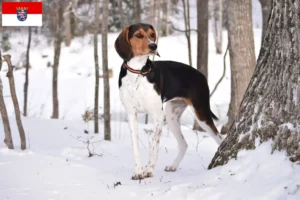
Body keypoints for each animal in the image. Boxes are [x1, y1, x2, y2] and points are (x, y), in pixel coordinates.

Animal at [115, 23, 223, 180]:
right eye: (138, 35)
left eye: (152, 34)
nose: (154, 45)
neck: (138, 72)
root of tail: (201, 75)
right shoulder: (131, 115)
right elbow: (135, 147)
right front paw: (138, 172)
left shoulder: (157, 116)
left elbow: (154, 146)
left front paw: (149, 170)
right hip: (172, 116)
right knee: (184, 144)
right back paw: (173, 166)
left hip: (201, 114)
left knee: (220, 139)